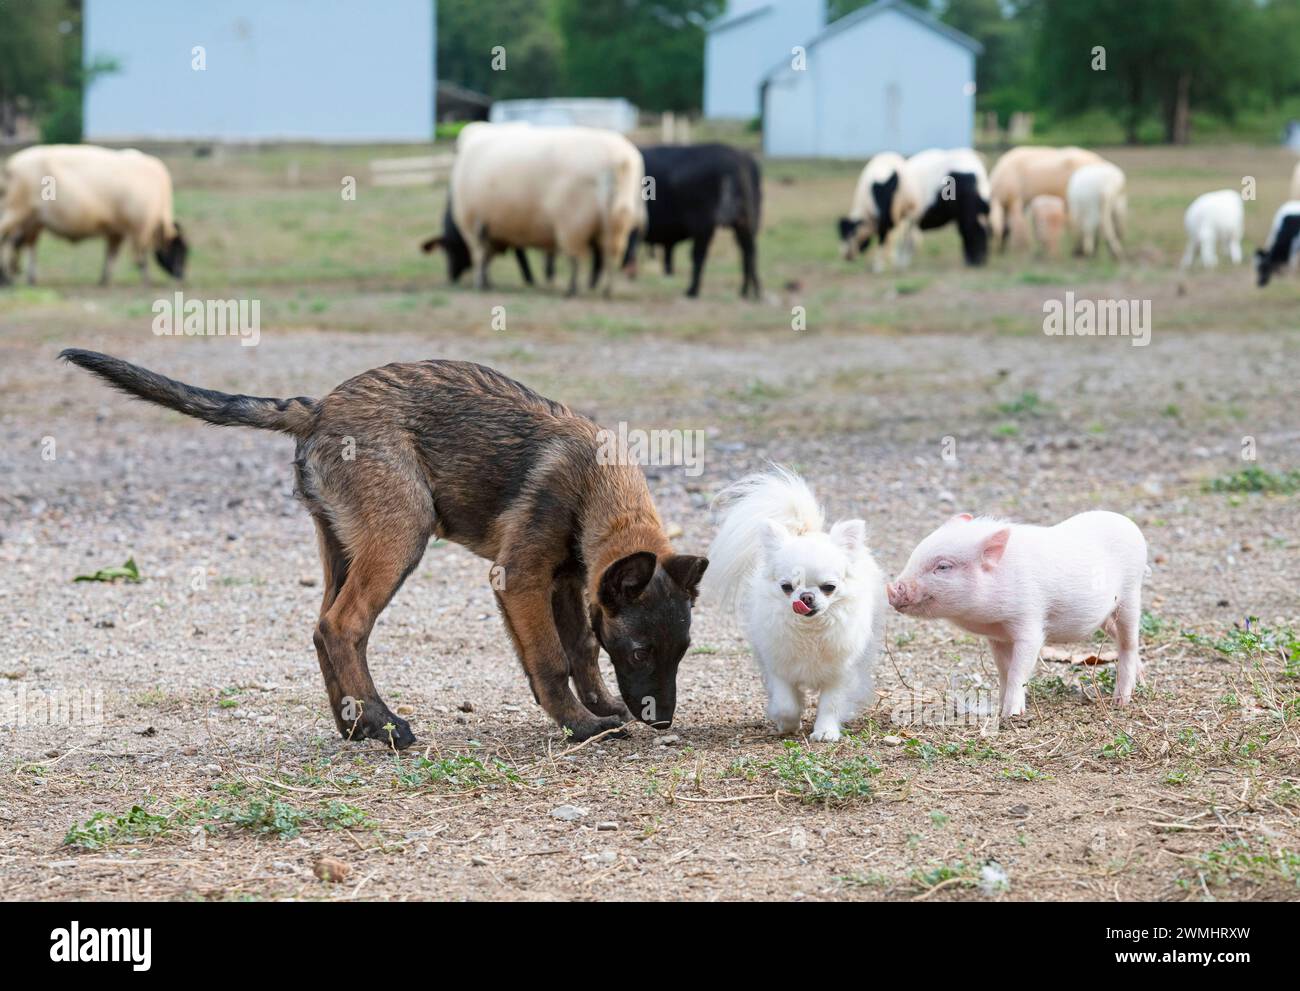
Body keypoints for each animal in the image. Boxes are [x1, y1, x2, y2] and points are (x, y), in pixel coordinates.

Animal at [0, 145, 188, 287]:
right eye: (181, 249)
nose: (181, 275)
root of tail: (11, 165)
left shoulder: (116, 230)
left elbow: (111, 254)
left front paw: (105, 279)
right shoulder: (140, 226)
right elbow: (141, 256)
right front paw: (146, 280)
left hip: (31, 218)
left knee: (24, 243)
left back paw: (26, 277)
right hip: (17, 209)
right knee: (8, 238)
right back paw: (7, 278)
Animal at [59, 348, 707, 738]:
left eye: (681, 652)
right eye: (641, 653)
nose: (663, 722)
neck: (594, 485)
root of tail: (318, 408)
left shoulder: (569, 582)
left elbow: (583, 650)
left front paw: (600, 706)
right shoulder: (520, 578)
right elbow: (550, 659)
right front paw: (579, 723)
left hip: (344, 546)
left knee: (325, 627)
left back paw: (356, 724)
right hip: (401, 536)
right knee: (342, 625)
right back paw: (384, 723)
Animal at [449, 122, 647, 295]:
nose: (451, 277)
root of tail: (619, 159)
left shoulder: (473, 224)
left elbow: (480, 256)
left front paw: (482, 283)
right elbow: (487, 257)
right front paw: (487, 282)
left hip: (573, 223)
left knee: (577, 257)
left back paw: (572, 290)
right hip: (615, 224)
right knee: (610, 254)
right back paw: (606, 290)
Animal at [631, 141, 759, 297]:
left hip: (717, 226)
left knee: (705, 255)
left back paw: (693, 290)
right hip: (741, 225)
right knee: (748, 253)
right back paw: (748, 291)